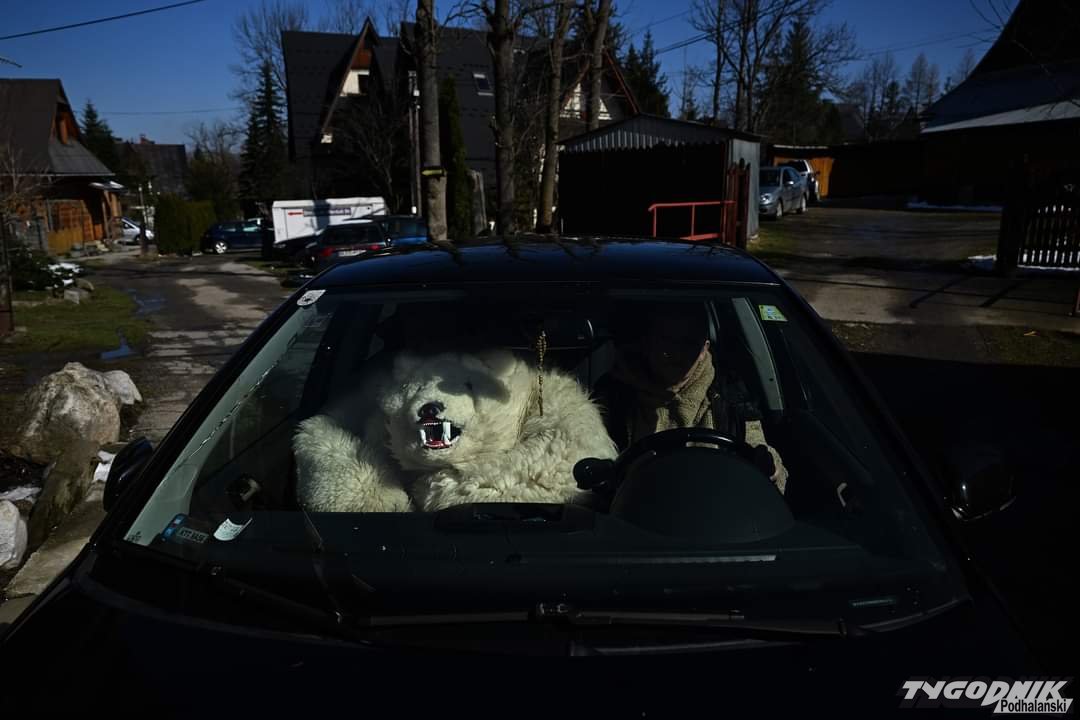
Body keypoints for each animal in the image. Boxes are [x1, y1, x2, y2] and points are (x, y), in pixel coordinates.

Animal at [292, 348, 618, 512]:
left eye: (468, 385)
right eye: (416, 387)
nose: (430, 408)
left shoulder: (556, 405)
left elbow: (549, 466)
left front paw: (434, 489)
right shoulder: (365, 404)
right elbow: (325, 438)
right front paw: (389, 499)